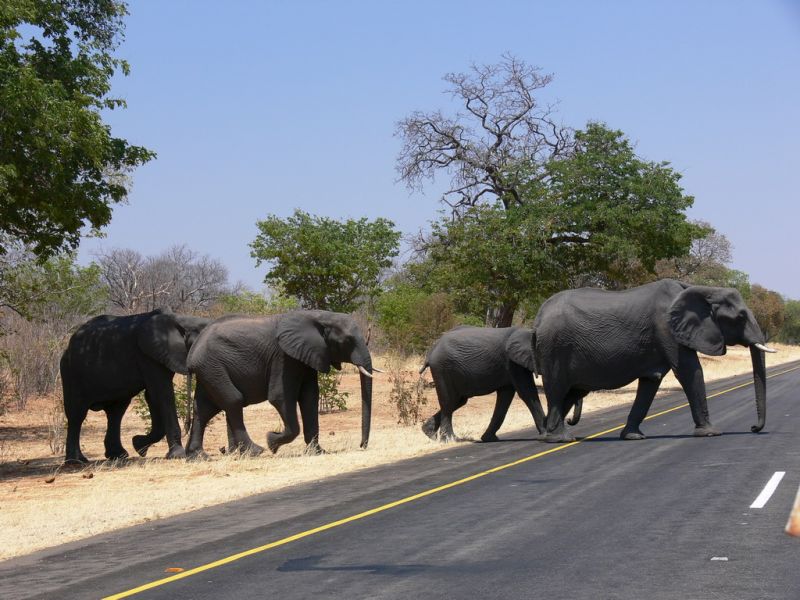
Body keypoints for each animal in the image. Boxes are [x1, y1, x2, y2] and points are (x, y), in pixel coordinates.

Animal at [61, 310, 211, 464]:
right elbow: (162, 392)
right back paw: (76, 461)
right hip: (70, 372)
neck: (181, 319)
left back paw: (118, 455)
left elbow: (152, 396)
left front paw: (138, 445)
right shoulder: (146, 355)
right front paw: (177, 455)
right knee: (76, 413)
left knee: (116, 412)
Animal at [185, 312, 376, 458]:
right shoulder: (284, 358)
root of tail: (192, 351)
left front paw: (318, 452)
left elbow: (310, 398)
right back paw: (257, 451)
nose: (362, 445)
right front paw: (272, 442)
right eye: (348, 341)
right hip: (212, 366)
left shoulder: (307, 356)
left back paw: (198, 457)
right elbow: (280, 396)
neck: (319, 315)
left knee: (204, 409)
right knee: (233, 400)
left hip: (208, 370)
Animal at [418, 326, 568, 442]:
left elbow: (505, 398)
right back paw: (449, 440)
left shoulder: (512, 366)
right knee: (449, 402)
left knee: (458, 400)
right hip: (442, 368)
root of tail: (432, 349)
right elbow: (527, 392)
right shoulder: (513, 363)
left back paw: (428, 433)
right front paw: (545, 433)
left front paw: (489, 439)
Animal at [532, 278, 776, 442]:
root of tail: (539, 315)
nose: (753, 428)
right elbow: (689, 371)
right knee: (557, 389)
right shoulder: (667, 329)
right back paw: (560, 438)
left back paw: (549, 435)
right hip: (555, 348)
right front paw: (711, 433)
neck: (700, 288)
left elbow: (651, 382)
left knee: (571, 393)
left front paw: (633, 436)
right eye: (740, 317)